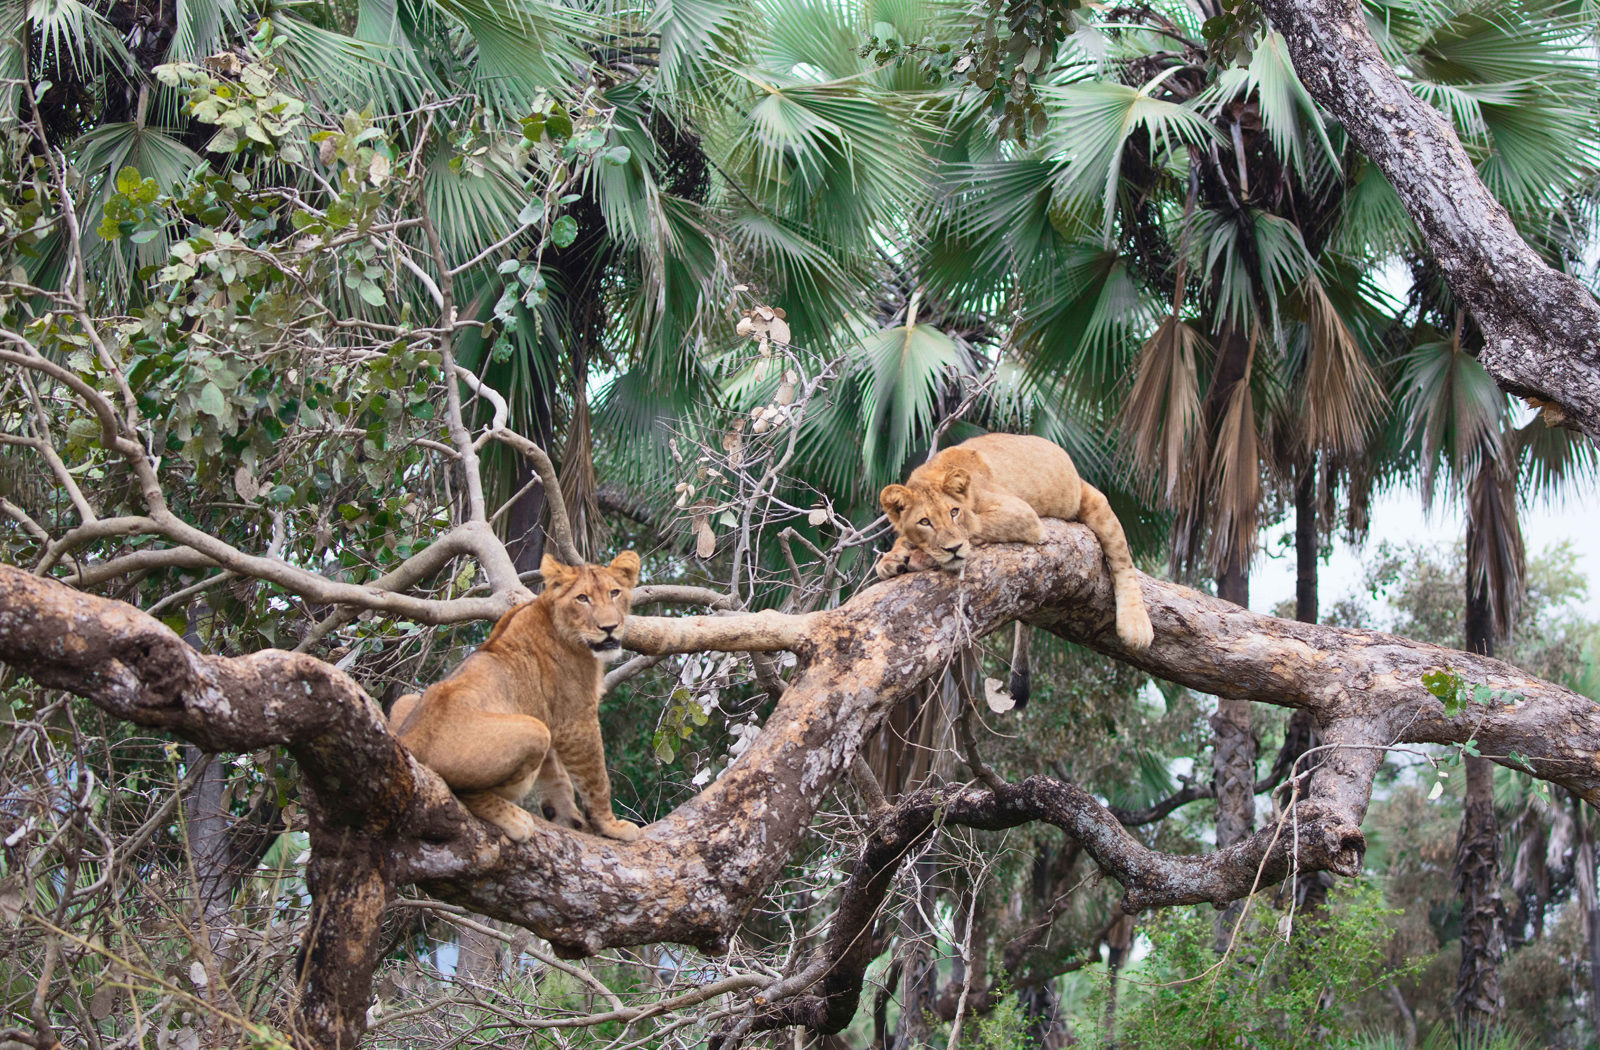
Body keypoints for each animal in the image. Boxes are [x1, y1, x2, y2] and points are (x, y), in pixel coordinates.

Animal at [387, 553, 643, 838]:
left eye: (614, 593)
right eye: (582, 598)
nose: (609, 628)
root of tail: (409, 743)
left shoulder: (546, 714)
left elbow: (557, 780)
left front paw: (571, 820)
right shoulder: (576, 721)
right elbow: (597, 779)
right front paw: (611, 826)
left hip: (407, 700)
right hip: (534, 730)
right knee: (458, 788)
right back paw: (514, 818)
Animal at [876, 435, 1152, 704]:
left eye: (953, 512)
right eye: (925, 522)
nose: (953, 549)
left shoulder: (1022, 513)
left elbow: (973, 527)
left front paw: (922, 556)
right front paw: (892, 559)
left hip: (1096, 503)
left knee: (1123, 563)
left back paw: (1136, 626)